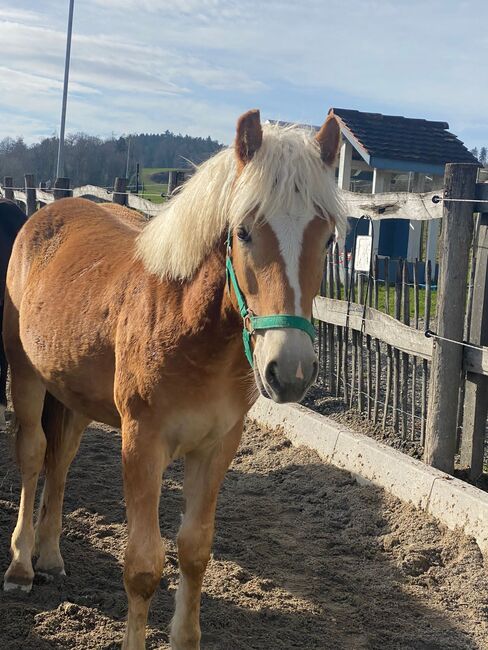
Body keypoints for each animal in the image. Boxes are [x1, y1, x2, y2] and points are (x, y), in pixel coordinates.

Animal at [2, 109, 344, 644]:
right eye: (243, 232)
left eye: (327, 236)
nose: (290, 370)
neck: (187, 325)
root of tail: (43, 215)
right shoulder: (143, 445)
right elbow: (143, 566)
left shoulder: (217, 447)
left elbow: (195, 551)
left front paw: (185, 637)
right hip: (26, 375)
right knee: (35, 455)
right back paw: (20, 566)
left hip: (74, 395)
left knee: (61, 461)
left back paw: (52, 557)